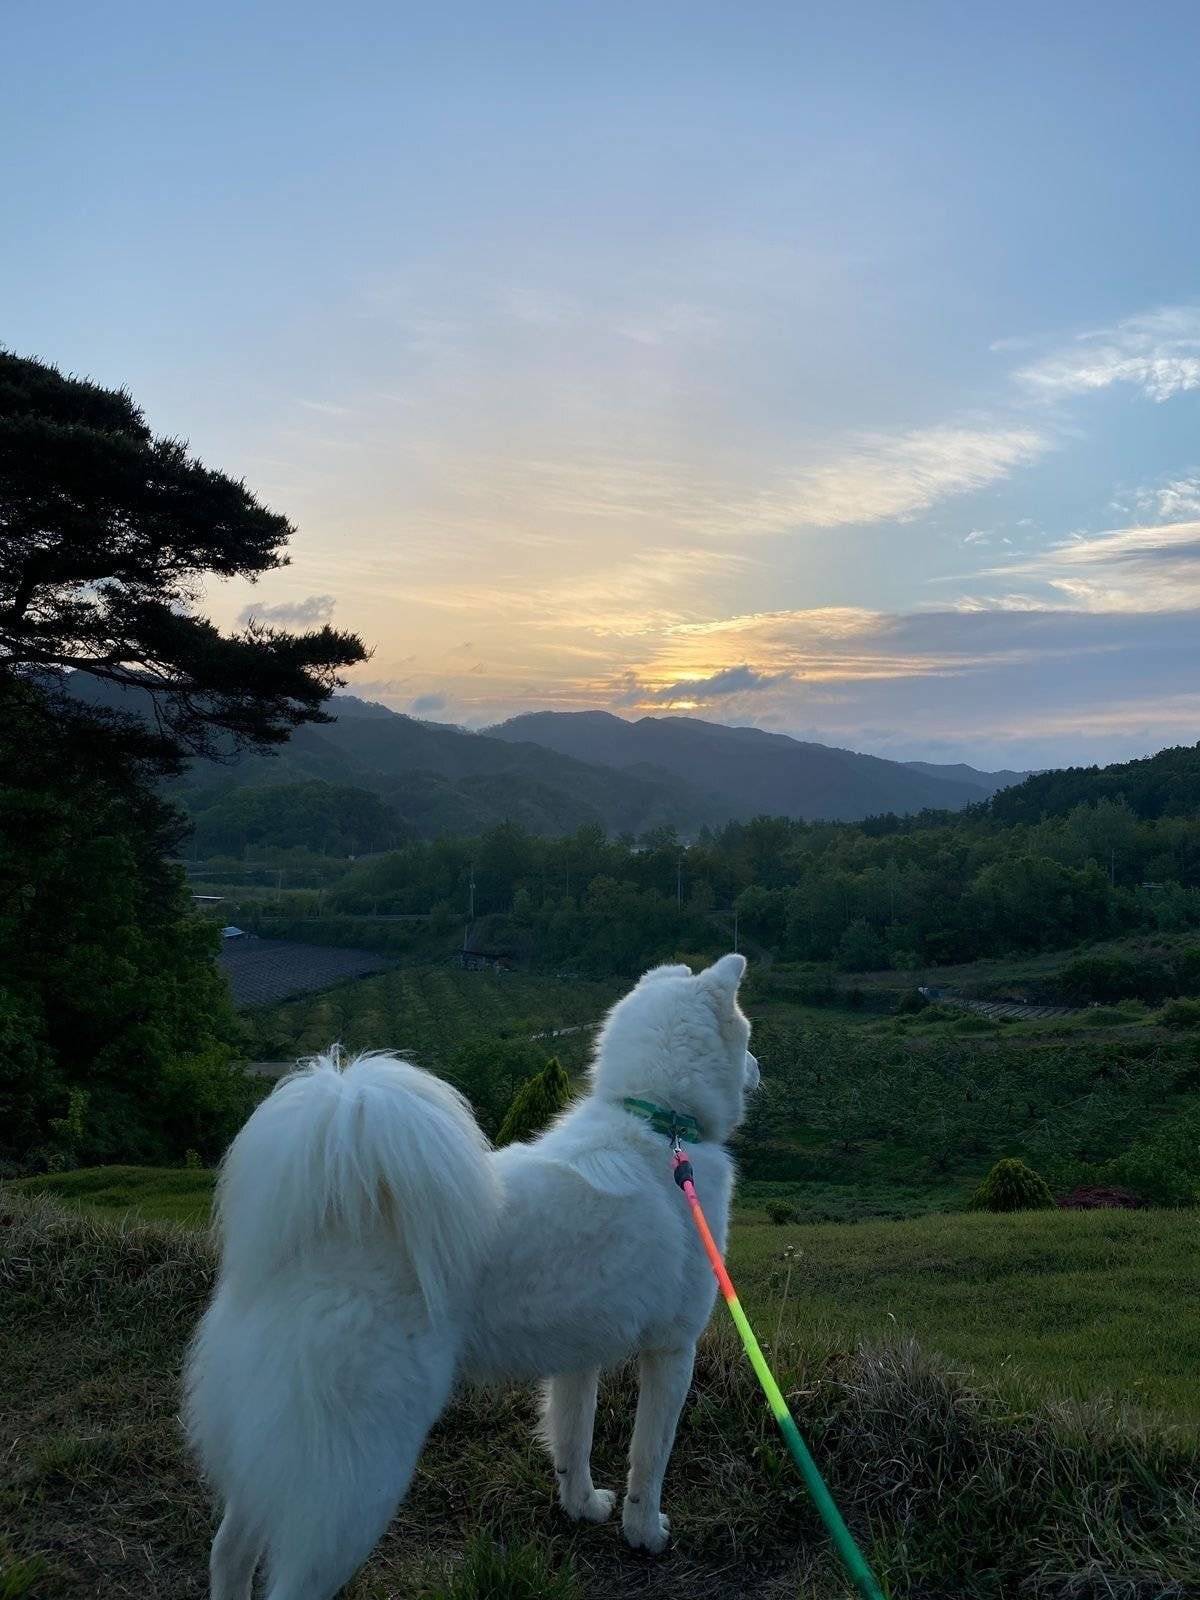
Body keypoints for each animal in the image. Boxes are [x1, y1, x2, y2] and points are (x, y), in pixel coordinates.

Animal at [188, 953, 761, 1593]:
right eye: (749, 1033)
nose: (759, 1067)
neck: (659, 1122)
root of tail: (323, 1232)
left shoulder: (577, 1356)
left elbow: (574, 1439)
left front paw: (582, 1505)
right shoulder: (672, 1350)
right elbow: (650, 1457)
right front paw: (645, 1533)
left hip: (272, 1457)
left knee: (227, 1551)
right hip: (357, 1480)